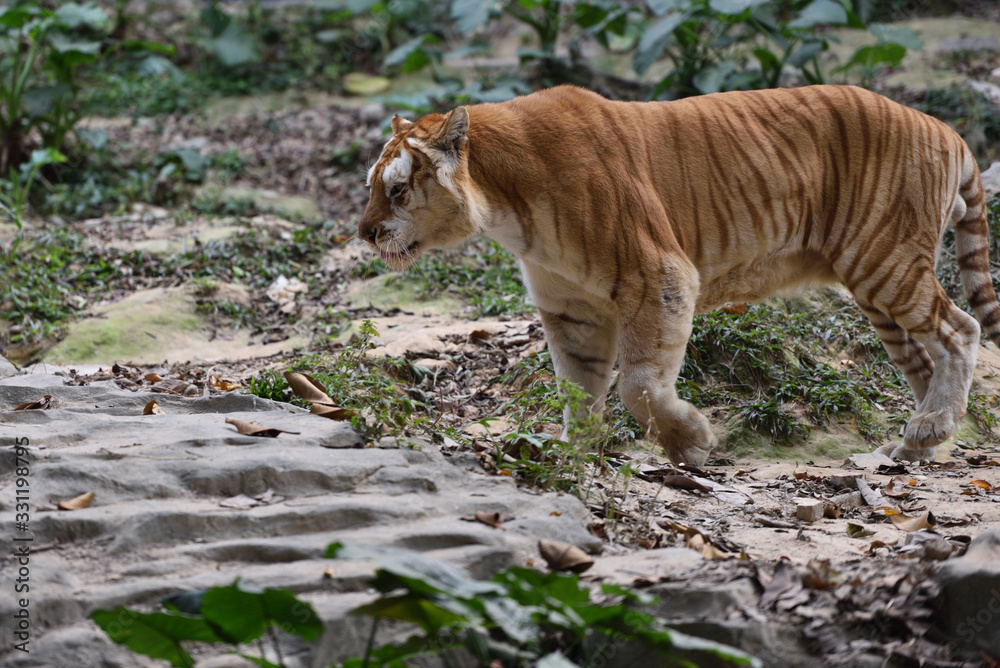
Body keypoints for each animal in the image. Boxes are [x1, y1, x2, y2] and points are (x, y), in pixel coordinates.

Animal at [357, 84, 1000, 466]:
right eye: (372, 187)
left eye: (397, 190)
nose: (364, 233)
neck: (507, 207)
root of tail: (946, 128)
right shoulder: (571, 310)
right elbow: (578, 388)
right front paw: (574, 453)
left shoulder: (658, 276)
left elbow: (638, 383)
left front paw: (690, 443)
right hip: (875, 287)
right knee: (923, 359)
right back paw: (920, 442)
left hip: (884, 262)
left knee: (961, 330)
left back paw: (930, 428)